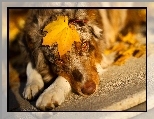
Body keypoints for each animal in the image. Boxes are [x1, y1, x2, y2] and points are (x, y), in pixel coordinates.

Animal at [8, 8, 146, 110]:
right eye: (58, 61)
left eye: (84, 46)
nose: (90, 90)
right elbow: (31, 64)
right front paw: (32, 84)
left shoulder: (101, 58)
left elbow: (61, 78)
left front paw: (50, 93)